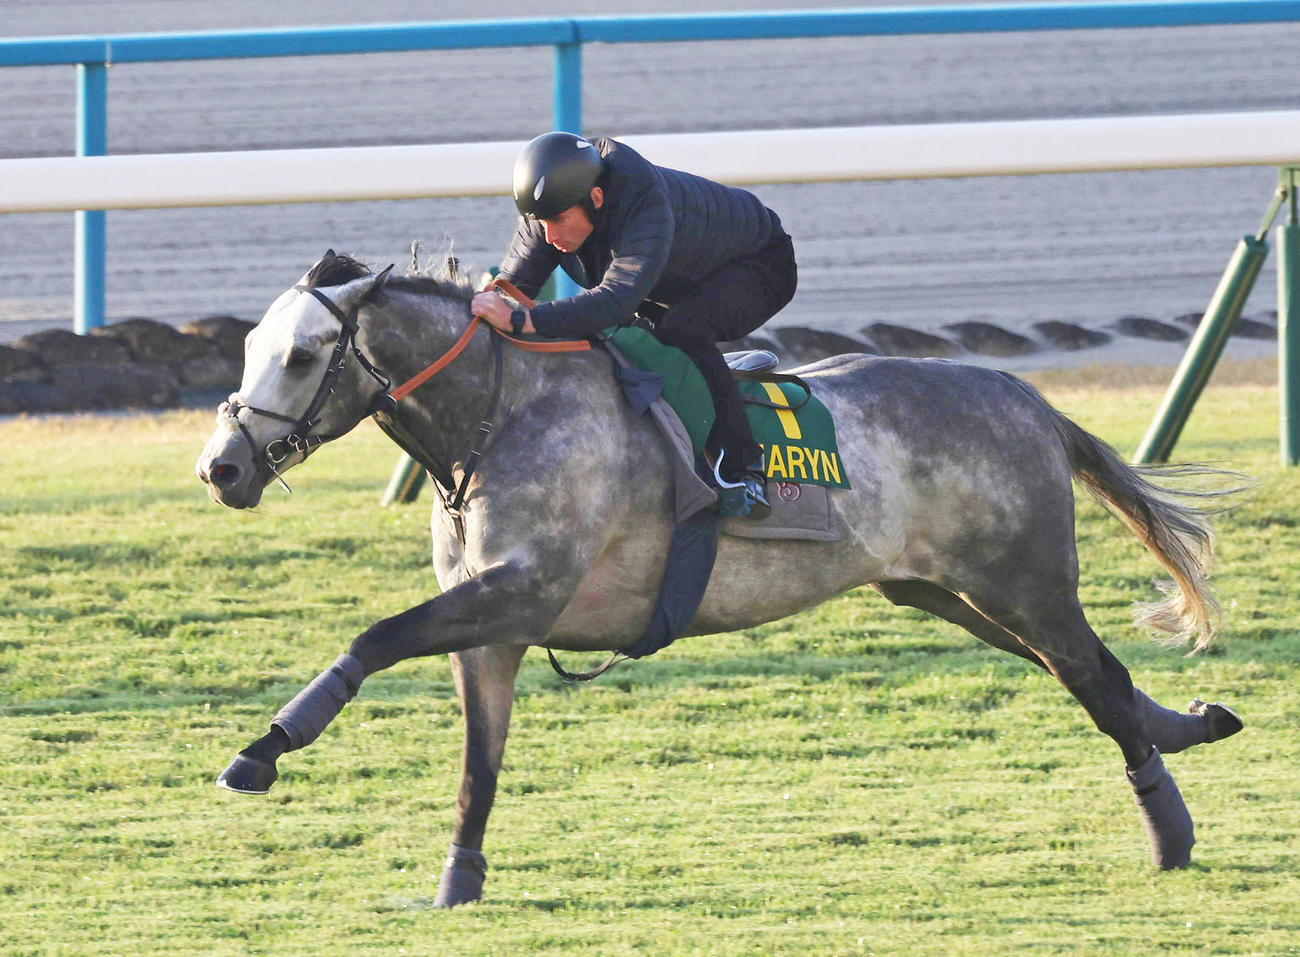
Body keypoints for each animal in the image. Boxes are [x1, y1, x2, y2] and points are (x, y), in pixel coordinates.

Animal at [196, 251, 1243, 907]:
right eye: (246, 350)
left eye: (301, 355)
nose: (222, 467)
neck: (502, 413)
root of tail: (1024, 397)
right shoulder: (494, 628)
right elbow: (475, 772)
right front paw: (457, 882)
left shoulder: (519, 592)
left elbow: (373, 636)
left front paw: (263, 749)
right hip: (948, 592)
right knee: (1092, 674)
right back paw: (1191, 727)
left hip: (1021, 581)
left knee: (1091, 674)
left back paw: (1172, 831)